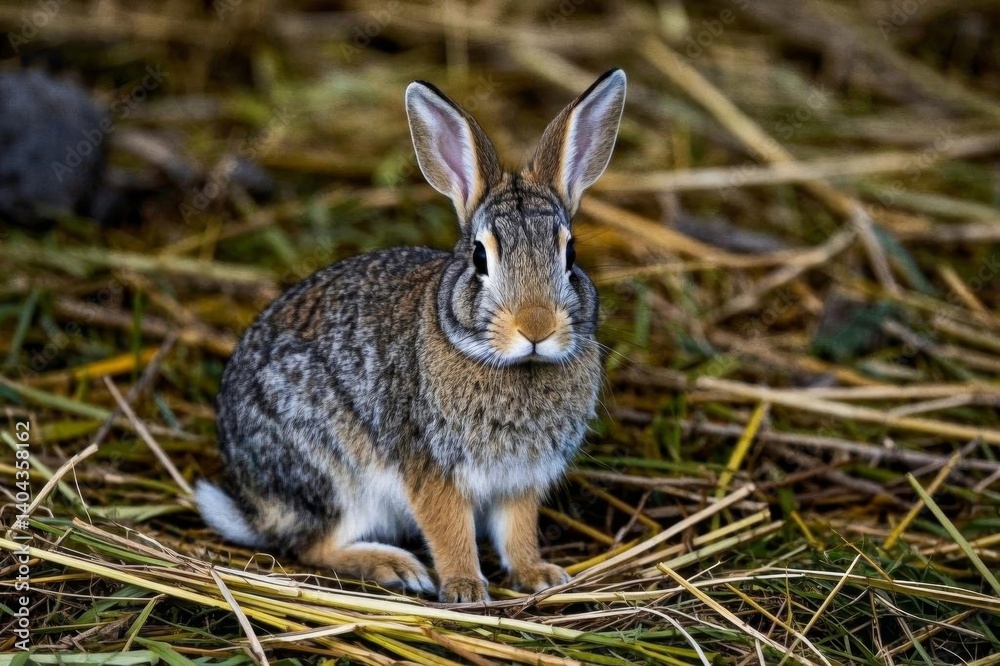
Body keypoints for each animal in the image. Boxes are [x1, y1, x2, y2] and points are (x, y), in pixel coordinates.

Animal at [195, 68, 627, 603]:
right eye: (480, 258)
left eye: (570, 257)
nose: (536, 327)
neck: (508, 363)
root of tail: (252, 503)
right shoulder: (430, 469)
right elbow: (449, 530)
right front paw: (465, 589)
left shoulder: (520, 482)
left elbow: (518, 531)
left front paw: (539, 575)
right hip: (332, 473)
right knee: (311, 545)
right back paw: (395, 567)